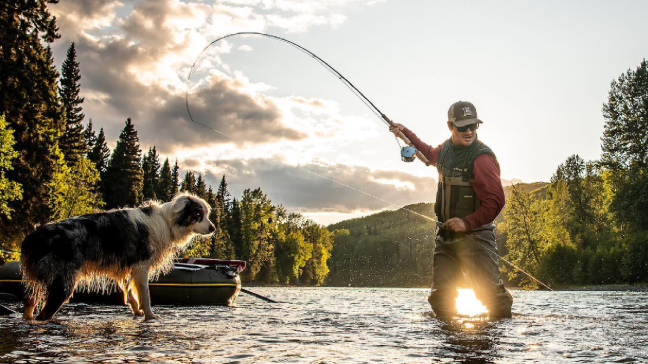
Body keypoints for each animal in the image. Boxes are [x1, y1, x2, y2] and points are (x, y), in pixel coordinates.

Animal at [20, 193, 215, 322]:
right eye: (198, 214)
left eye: (207, 214)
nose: (213, 228)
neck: (166, 222)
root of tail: (33, 237)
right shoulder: (141, 266)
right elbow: (145, 295)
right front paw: (150, 316)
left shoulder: (127, 268)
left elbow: (130, 292)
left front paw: (137, 311)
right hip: (63, 282)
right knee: (45, 313)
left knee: (29, 301)